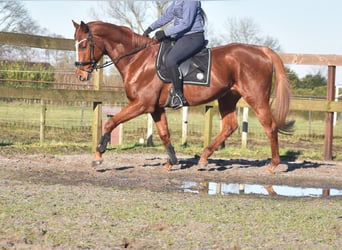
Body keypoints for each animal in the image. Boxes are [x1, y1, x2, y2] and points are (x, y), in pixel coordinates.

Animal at [73, 21, 292, 174]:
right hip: (227, 98)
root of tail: (260, 50)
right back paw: (203, 159)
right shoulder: (156, 108)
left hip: (256, 97)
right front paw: (171, 162)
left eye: (83, 46)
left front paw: (98, 155)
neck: (138, 59)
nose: (81, 76)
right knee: (230, 126)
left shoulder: (141, 104)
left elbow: (110, 123)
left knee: (269, 126)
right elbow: (164, 134)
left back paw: (273, 165)